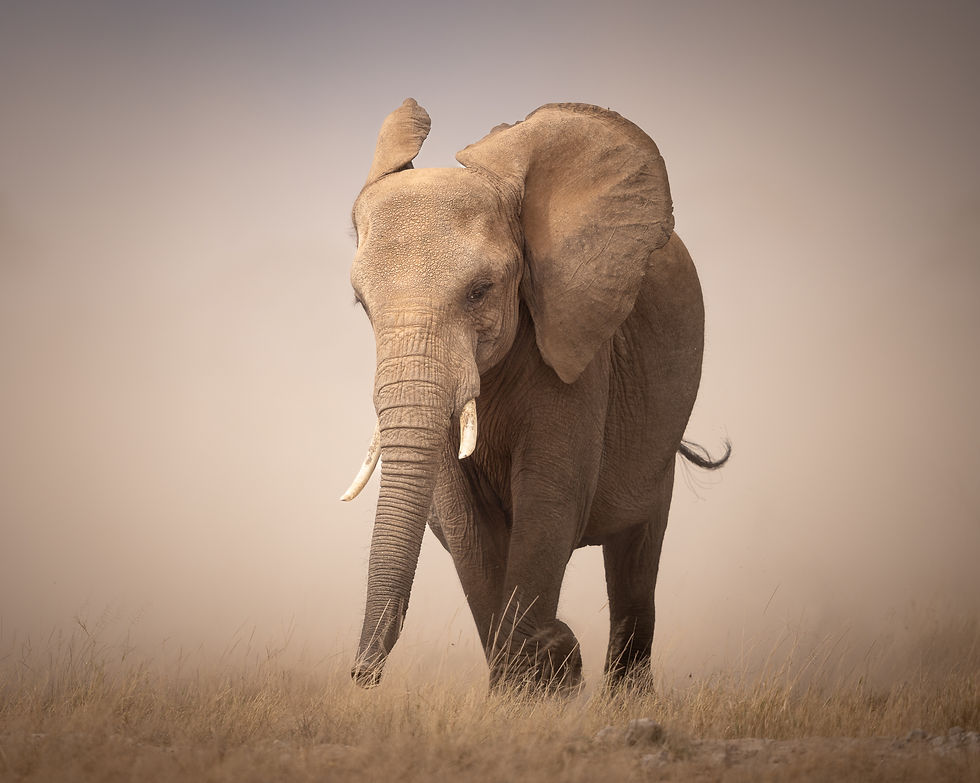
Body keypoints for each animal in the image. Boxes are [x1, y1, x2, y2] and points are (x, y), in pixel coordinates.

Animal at [341, 98, 729, 691]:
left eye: (480, 292)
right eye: (362, 303)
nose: (361, 674)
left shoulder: (575, 347)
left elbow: (549, 496)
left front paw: (551, 663)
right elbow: (466, 524)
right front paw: (531, 682)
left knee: (637, 554)